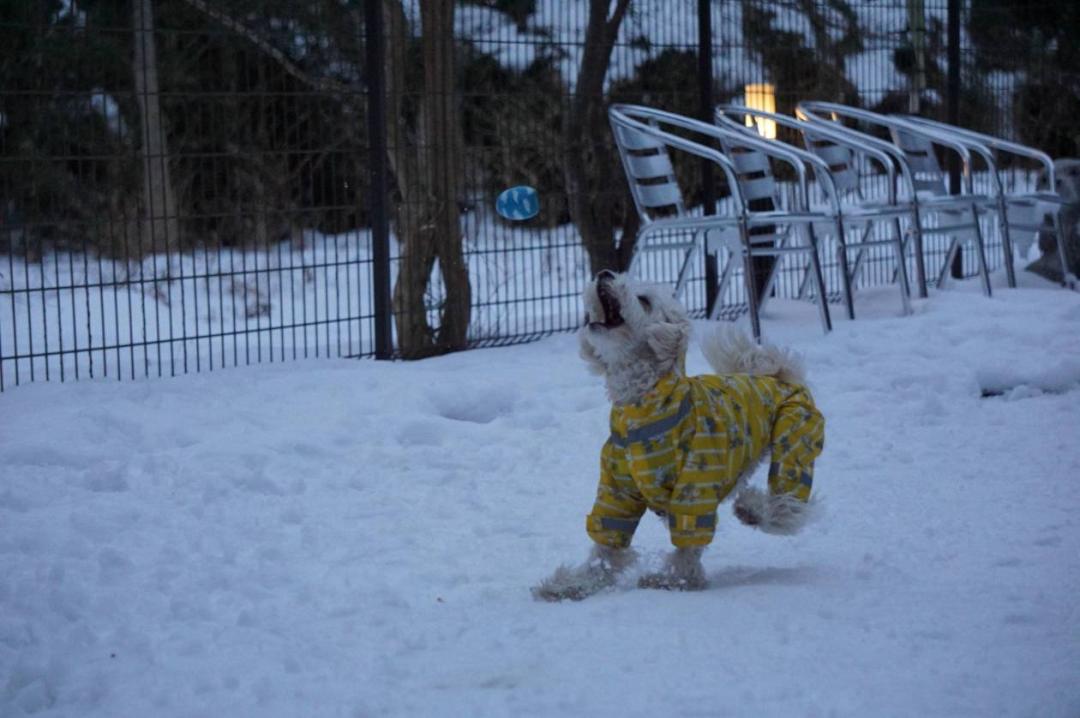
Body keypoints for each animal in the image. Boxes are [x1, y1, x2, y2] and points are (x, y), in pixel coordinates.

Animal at [533, 268, 825, 600]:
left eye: (644, 300)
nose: (604, 273)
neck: (642, 410)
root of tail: (780, 375)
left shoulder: (696, 481)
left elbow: (689, 538)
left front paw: (677, 579)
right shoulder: (616, 489)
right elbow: (607, 542)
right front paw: (574, 584)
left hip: (794, 438)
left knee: (789, 503)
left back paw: (753, 510)